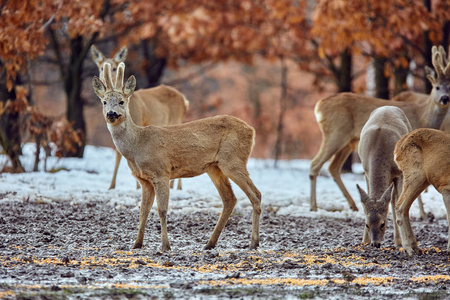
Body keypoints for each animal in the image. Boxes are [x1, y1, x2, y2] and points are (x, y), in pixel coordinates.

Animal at [91, 45, 188, 190]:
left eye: (114, 68)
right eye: (101, 67)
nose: (111, 113)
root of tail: (184, 99)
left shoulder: (138, 122)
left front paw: (137, 186)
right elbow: (118, 155)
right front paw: (111, 186)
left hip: (176, 120)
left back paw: (177, 187)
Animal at [91, 62, 260, 251]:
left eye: (121, 101)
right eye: (104, 102)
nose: (111, 114)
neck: (137, 146)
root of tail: (252, 131)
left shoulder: (161, 172)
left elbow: (162, 210)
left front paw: (165, 245)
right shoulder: (144, 180)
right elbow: (143, 210)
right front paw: (137, 244)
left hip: (233, 161)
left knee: (256, 195)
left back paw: (253, 243)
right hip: (214, 167)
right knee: (230, 199)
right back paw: (210, 243)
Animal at [310, 45, 450, 212]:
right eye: (437, 87)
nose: (445, 98)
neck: (423, 117)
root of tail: (319, 106)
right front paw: (422, 213)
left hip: (347, 142)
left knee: (333, 167)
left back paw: (353, 205)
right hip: (335, 134)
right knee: (315, 165)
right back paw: (313, 207)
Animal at [356, 106, 414, 247]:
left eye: (383, 224)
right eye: (366, 224)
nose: (375, 243)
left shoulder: (399, 173)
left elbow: (397, 203)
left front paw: (402, 242)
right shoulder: (366, 170)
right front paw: (364, 240)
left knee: (394, 200)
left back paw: (398, 240)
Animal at [394, 127, 450, 256]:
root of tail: (398, 146)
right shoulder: (445, 187)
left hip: (423, 180)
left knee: (405, 208)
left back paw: (415, 247)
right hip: (415, 175)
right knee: (399, 206)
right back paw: (408, 249)